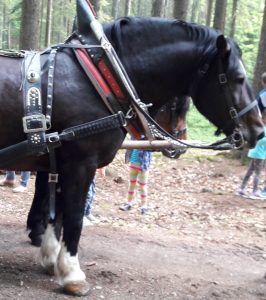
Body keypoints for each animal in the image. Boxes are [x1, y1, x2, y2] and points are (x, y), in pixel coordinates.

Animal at [0, 0, 262, 296]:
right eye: (237, 78)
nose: (258, 129)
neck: (102, 75)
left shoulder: (60, 161)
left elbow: (59, 214)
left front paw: (50, 257)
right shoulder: (80, 163)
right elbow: (74, 216)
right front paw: (72, 274)